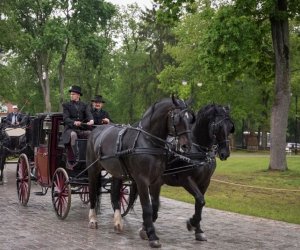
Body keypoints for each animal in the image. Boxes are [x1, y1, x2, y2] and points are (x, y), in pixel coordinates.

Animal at [86, 96, 195, 248]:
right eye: (177, 118)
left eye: (190, 118)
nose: (187, 146)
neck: (149, 142)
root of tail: (96, 130)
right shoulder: (142, 180)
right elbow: (147, 207)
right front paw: (152, 236)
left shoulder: (156, 180)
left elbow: (155, 206)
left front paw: (144, 230)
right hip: (93, 169)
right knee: (92, 192)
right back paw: (93, 219)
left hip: (117, 173)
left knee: (115, 195)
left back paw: (118, 222)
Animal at [142, 104, 236, 242]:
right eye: (218, 126)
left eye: (230, 127)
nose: (225, 153)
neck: (199, 150)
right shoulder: (186, 180)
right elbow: (200, 200)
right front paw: (192, 223)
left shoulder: (205, 182)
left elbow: (199, 203)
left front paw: (199, 230)